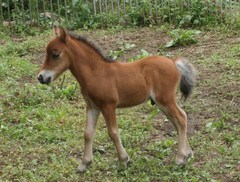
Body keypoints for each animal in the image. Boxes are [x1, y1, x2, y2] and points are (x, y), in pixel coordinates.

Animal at [37, 26, 195, 172]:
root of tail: (173, 62)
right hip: (162, 103)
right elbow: (88, 133)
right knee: (178, 120)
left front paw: (123, 161)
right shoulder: (92, 106)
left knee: (181, 118)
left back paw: (180, 158)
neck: (96, 72)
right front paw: (84, 164)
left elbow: (113, 132)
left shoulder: (108, 105)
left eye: (55, 54)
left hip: (165, 100)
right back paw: (187, 154)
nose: (41, 77)